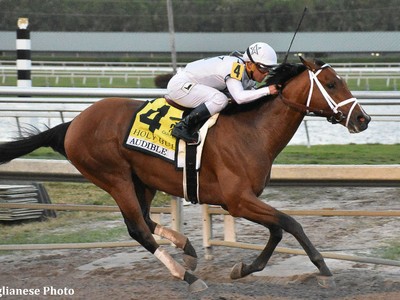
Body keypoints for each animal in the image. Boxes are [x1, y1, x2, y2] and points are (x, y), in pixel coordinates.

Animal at [0, 57, 372, 292]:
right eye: (331, 83)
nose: (363, 119)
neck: (253, 131)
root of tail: (73, 124)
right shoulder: (237, 201)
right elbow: (291, 224)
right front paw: (324, 270)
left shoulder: (246, 200)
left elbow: (279, 230)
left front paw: (243, 269)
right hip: (114, 177)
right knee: (137, 228)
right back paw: (187, 276)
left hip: (141, 181)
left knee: (145, 220)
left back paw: (188, 250)